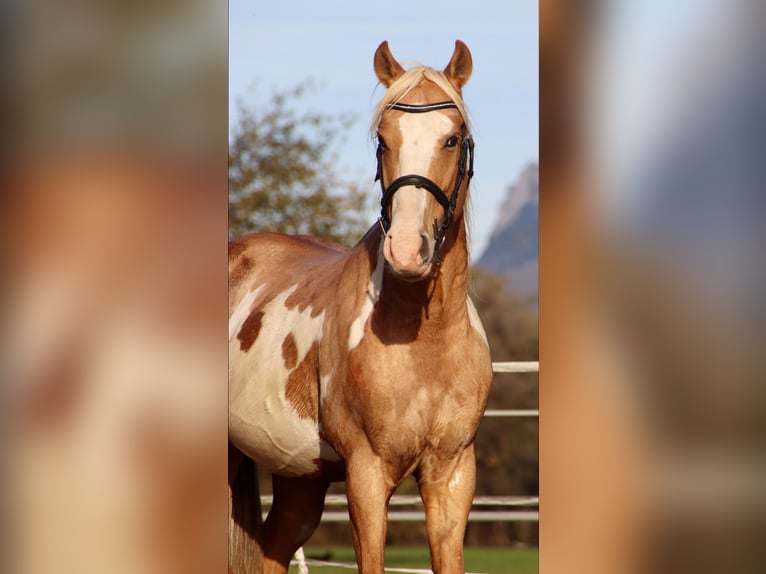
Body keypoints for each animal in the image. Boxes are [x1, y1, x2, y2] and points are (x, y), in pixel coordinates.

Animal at [228, 40, 493, 574]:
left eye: (453, 139)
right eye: (382, 140)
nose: (408, 250)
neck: (426, 340)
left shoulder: (452, 476)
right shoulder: (367, 475)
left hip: (300, 478)